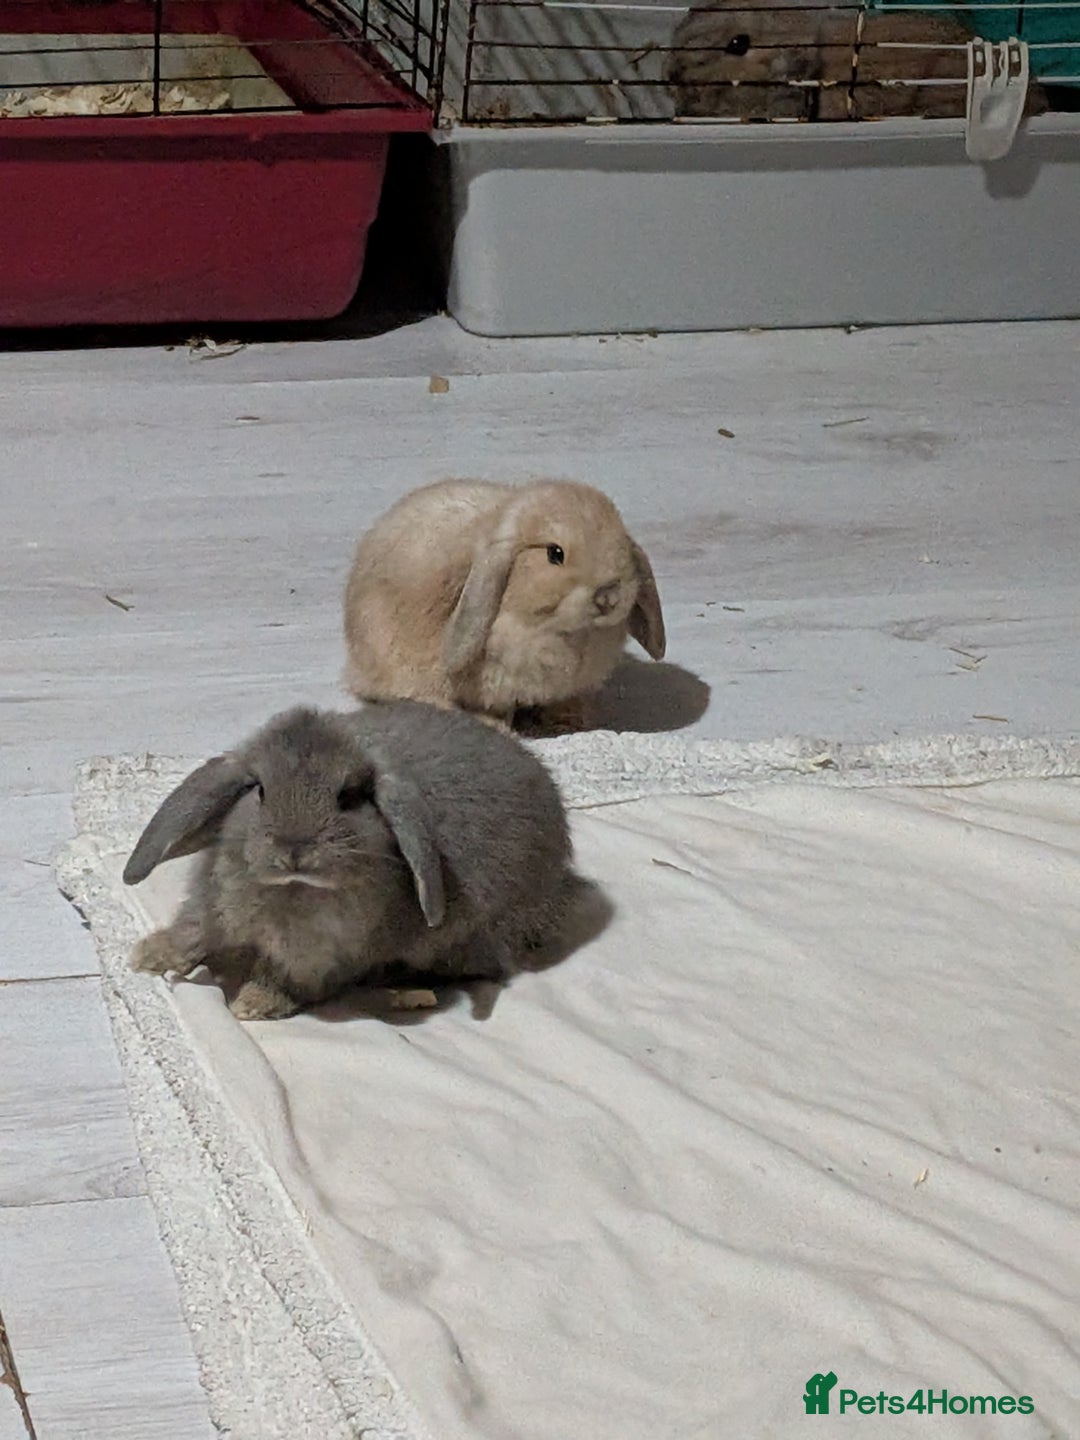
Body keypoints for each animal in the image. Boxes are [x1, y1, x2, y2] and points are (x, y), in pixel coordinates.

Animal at [123, 701, 579, 1021]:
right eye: (260, 790)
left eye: (349, 797)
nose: (294, 848)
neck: (292, 892)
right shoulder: (213, 908)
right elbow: (193, 931)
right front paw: (147, 956)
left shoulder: (315, 959)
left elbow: (284, 979)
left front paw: (253, 1004)